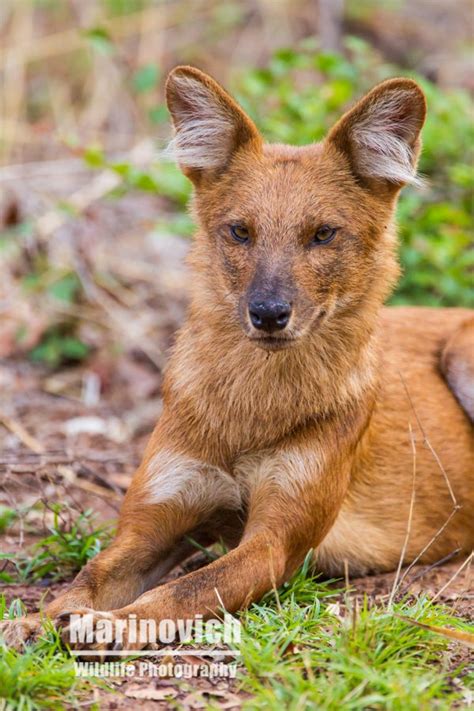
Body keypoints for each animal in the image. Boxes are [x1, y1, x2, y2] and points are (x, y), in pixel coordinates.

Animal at [1, 67, 472, 652]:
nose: (268, 313)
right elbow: (88, 575)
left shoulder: (274, 544)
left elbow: (187, 589)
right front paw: (34, 621)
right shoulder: (156, 521)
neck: (250, 407)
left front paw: (116, 623)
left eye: (323, 234)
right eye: (240, 231)